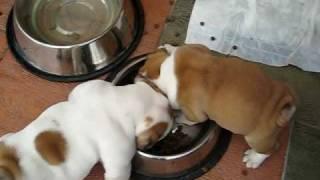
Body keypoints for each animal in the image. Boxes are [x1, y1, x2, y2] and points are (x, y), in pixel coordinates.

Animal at [136, 44, 296, 169]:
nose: (137, 75)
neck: (164, 71)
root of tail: (280, 105)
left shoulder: (194, 113)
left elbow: (191, 119)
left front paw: (179, 116)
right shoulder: (197, 48)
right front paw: (169, 47)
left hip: (257, 139)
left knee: (272, 149)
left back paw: (254, 159)